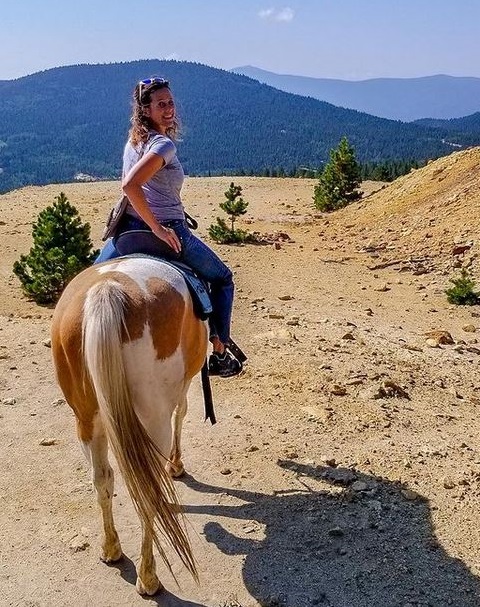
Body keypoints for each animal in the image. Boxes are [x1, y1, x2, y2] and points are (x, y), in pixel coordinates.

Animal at [51, 256, 208, 592]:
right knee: (148, 488)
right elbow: (182, 411)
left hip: (87, 418)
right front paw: (176, 465)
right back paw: (148, 577)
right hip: (152, 418)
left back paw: (111, 549)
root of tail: (107, 289)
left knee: (102, 478)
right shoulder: (183, 386)